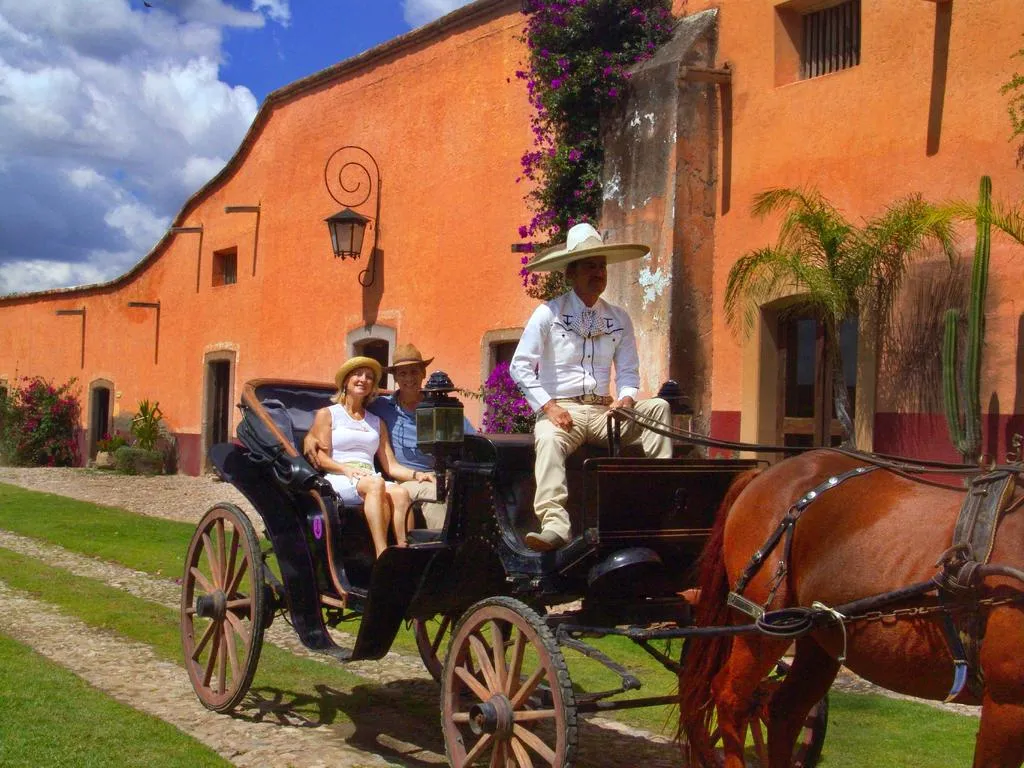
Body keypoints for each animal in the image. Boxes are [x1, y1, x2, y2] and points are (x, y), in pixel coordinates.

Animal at [679, 450, 1024, 768]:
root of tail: (766, 473)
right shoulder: (1007, 703)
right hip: (761, 629)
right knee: (730, 697)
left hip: (814, 635)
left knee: (783, 711)